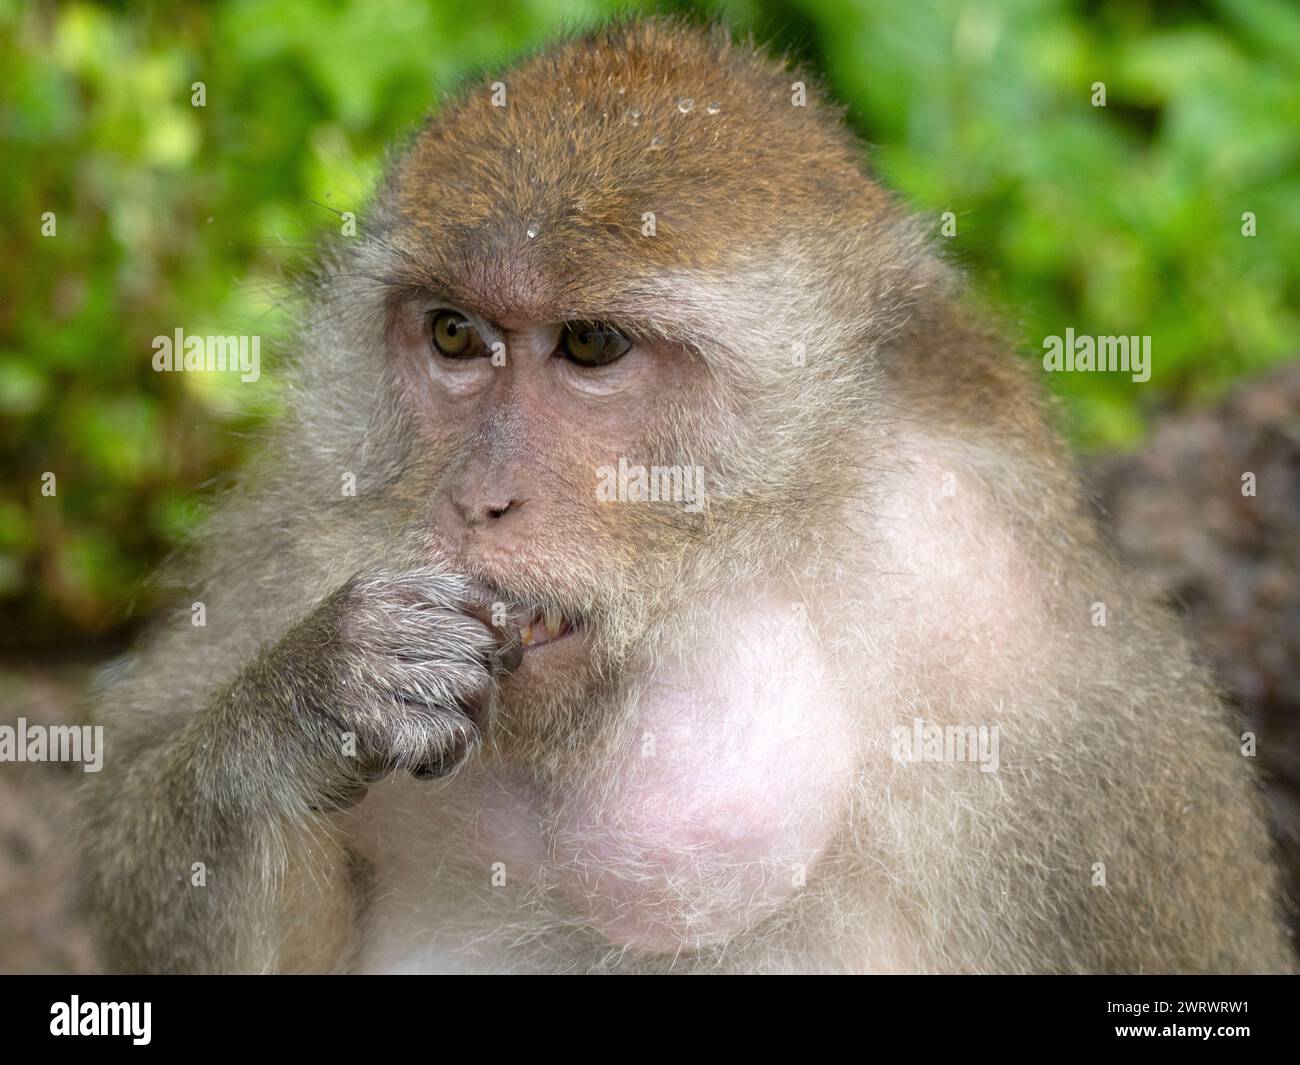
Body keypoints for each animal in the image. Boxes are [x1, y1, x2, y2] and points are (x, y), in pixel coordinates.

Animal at [82, 18, 1292, 974]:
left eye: (591, 345)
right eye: (454, 335)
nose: (478, 500)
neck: (745, 546)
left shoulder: (1026, 642)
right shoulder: (310, 511)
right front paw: (313, 697)